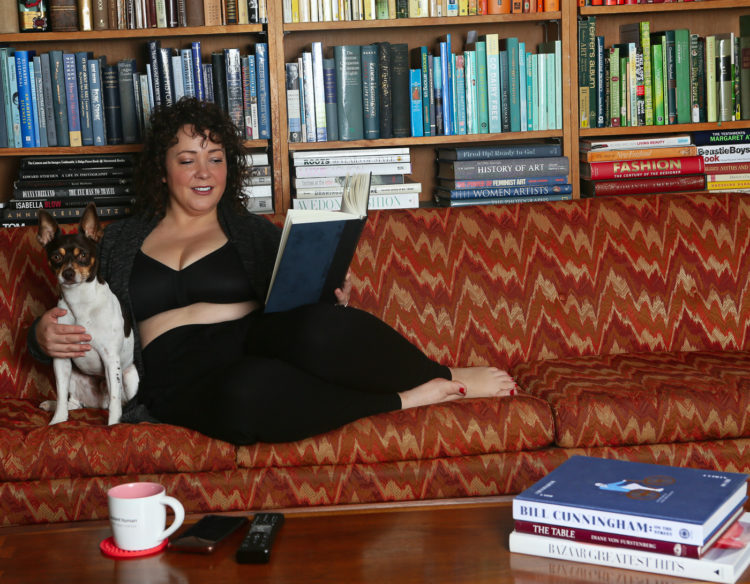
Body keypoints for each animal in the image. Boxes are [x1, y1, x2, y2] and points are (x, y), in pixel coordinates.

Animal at [36, 204, 138, 424]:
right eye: (56, 257)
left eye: (82, 255)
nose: (68, 273)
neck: (80, 302)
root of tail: (98, 404)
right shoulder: (61, 359)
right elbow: (61, 394)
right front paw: (57, 421)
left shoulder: (111, 360)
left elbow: (115, 401)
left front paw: (113, 425)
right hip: (73, 376)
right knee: (72, 402)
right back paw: (53, 405)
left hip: (129, 376)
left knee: (119, 400)